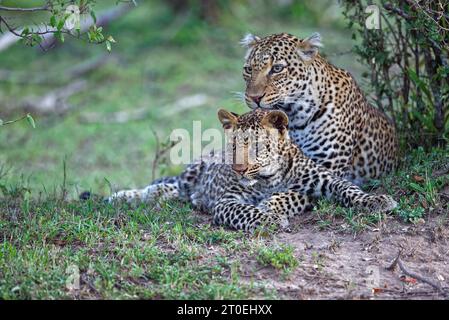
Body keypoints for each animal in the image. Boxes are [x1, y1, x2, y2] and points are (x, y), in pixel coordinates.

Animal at [107, 107, 396, 230]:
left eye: (257, 146)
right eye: (234, 145)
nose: (238, 169)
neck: (270, 178)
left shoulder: (323, 180)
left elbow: (348, 189)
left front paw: (377, 201)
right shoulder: (227, 201)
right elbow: (247, 211)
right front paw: (271, 218)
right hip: (191, 174)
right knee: (167, 187)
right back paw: (123, 197)